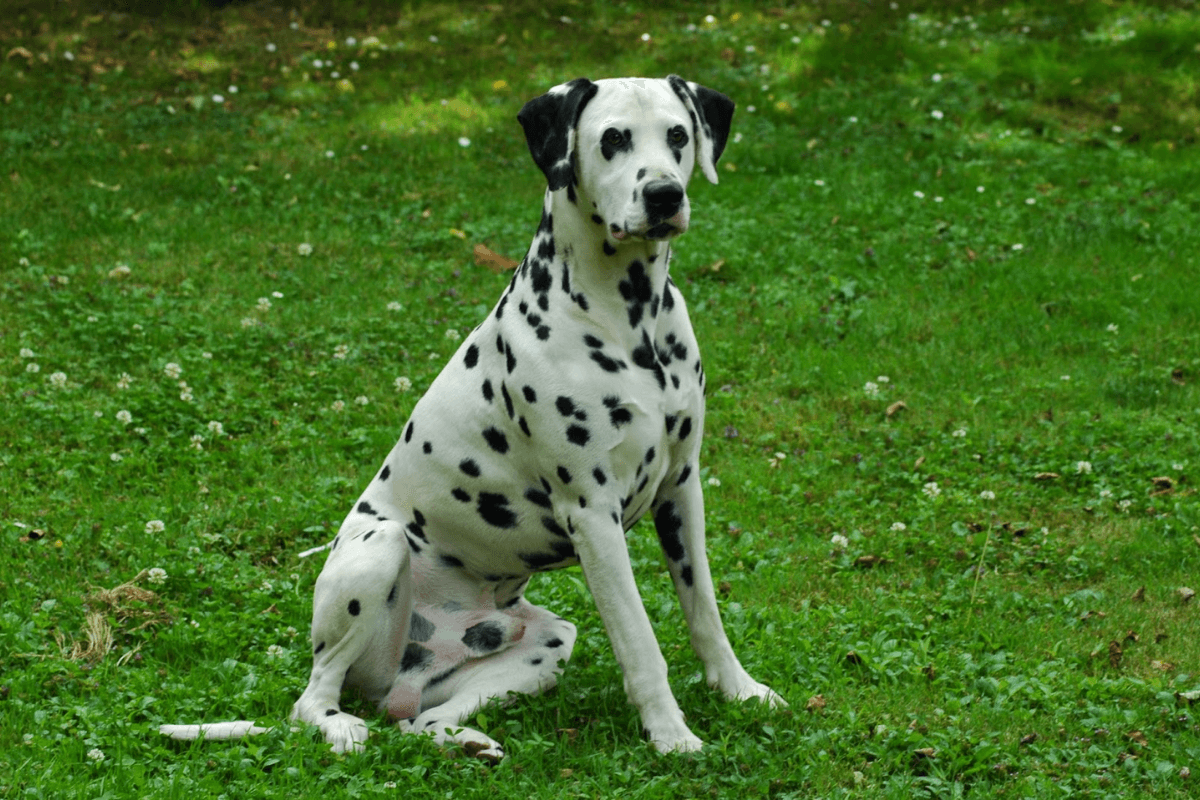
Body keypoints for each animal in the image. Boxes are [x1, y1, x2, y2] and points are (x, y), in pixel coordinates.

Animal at [162, 76, 787, 762]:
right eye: (613, 139)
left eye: (677, 134)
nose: (664, 194)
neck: (629, 321)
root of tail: (390, 687)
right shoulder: (593, 516)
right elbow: (642, 643)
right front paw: (672, 735)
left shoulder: (681, 489)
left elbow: (705, 612)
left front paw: (739, 690)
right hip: (378, 549)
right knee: (311, 700)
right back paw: (341, 726)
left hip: (549, 640)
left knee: (420, 723)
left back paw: (462, 739)